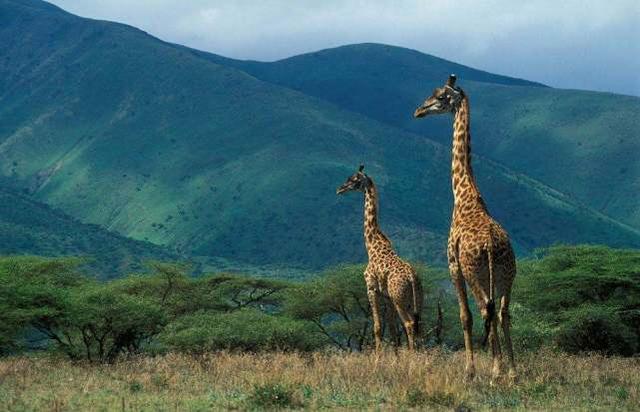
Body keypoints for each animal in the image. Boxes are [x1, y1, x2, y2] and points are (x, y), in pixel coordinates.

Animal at [338, 164, 422, 350]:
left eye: (354, 179)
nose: (340, 189)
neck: (372, 244)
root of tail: (412, 277)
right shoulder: (387, 296)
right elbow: (391, 328)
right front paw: (395, 356)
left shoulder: (371, 288)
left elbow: (377, 327)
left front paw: (378, 357)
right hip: (417, 300)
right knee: (418, 325)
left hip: (399, 299)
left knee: (409, 324)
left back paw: (413, 356)